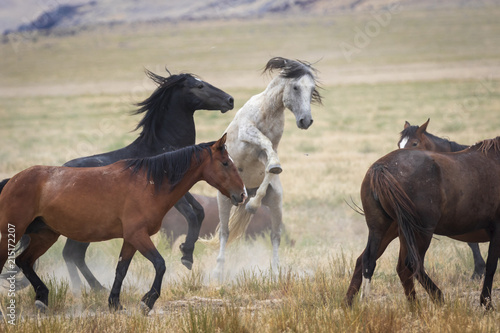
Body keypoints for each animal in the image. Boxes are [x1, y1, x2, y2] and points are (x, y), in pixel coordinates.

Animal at [0, 68, 234, 290]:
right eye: (199, 86)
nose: (230, 100)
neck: (162, 149)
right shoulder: (173, 196)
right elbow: (192, 215)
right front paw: (186, 255)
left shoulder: (183, 192)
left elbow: (200, 211)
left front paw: (188, 252)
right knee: (72, 253)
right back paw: (87, 289)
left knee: (72, 254)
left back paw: (91, 288)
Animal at [0, 135, 246, 314]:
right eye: (225, 163)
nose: (242, 194)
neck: (149, 183)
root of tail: (12, 181)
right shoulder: (139, 235)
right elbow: (160, 264)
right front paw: (148, 301)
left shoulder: (131, 239)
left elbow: (121, 269)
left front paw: (115, 303)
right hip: (12, 232)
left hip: (46, 235)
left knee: (24, 261)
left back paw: (42, 298)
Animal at [201, 57, 322, 280]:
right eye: (295, 87)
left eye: (312, 90)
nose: (306, 120)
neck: (268, 111)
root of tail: (244, 192)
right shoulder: (248, 133)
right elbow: (263, 141)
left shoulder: (264, 153)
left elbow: (269, 166)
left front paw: (256, 200)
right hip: (223, 200)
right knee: (224, 232)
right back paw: (218, 271)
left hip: (275, 204)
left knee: (275, 236)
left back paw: (275, 271)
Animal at [346, 136, 500, 308]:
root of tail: (381, 168)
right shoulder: (497, 229)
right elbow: (491, 266)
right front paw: (486, 303)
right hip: (420, 231)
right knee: (411, 264)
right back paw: (437, 298)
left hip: (384, 229)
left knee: (368, 261)